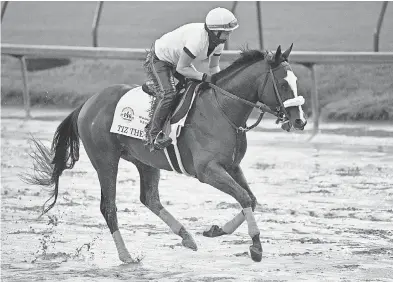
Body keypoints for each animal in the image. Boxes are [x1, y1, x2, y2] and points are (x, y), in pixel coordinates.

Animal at [23, 45, 306, 264]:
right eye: (283, 83)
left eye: (296, 82)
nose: (300, 120)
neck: (222, 108)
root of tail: (87, 103)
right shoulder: (208, 170)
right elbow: (244, 197)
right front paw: (256, 247)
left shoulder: (232, 166)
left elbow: (251, 198)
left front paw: (216, 230)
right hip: (105, 160)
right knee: (109, 207)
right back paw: (126, 256)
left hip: (146, 161)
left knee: (149, 198)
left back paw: (186, 236)